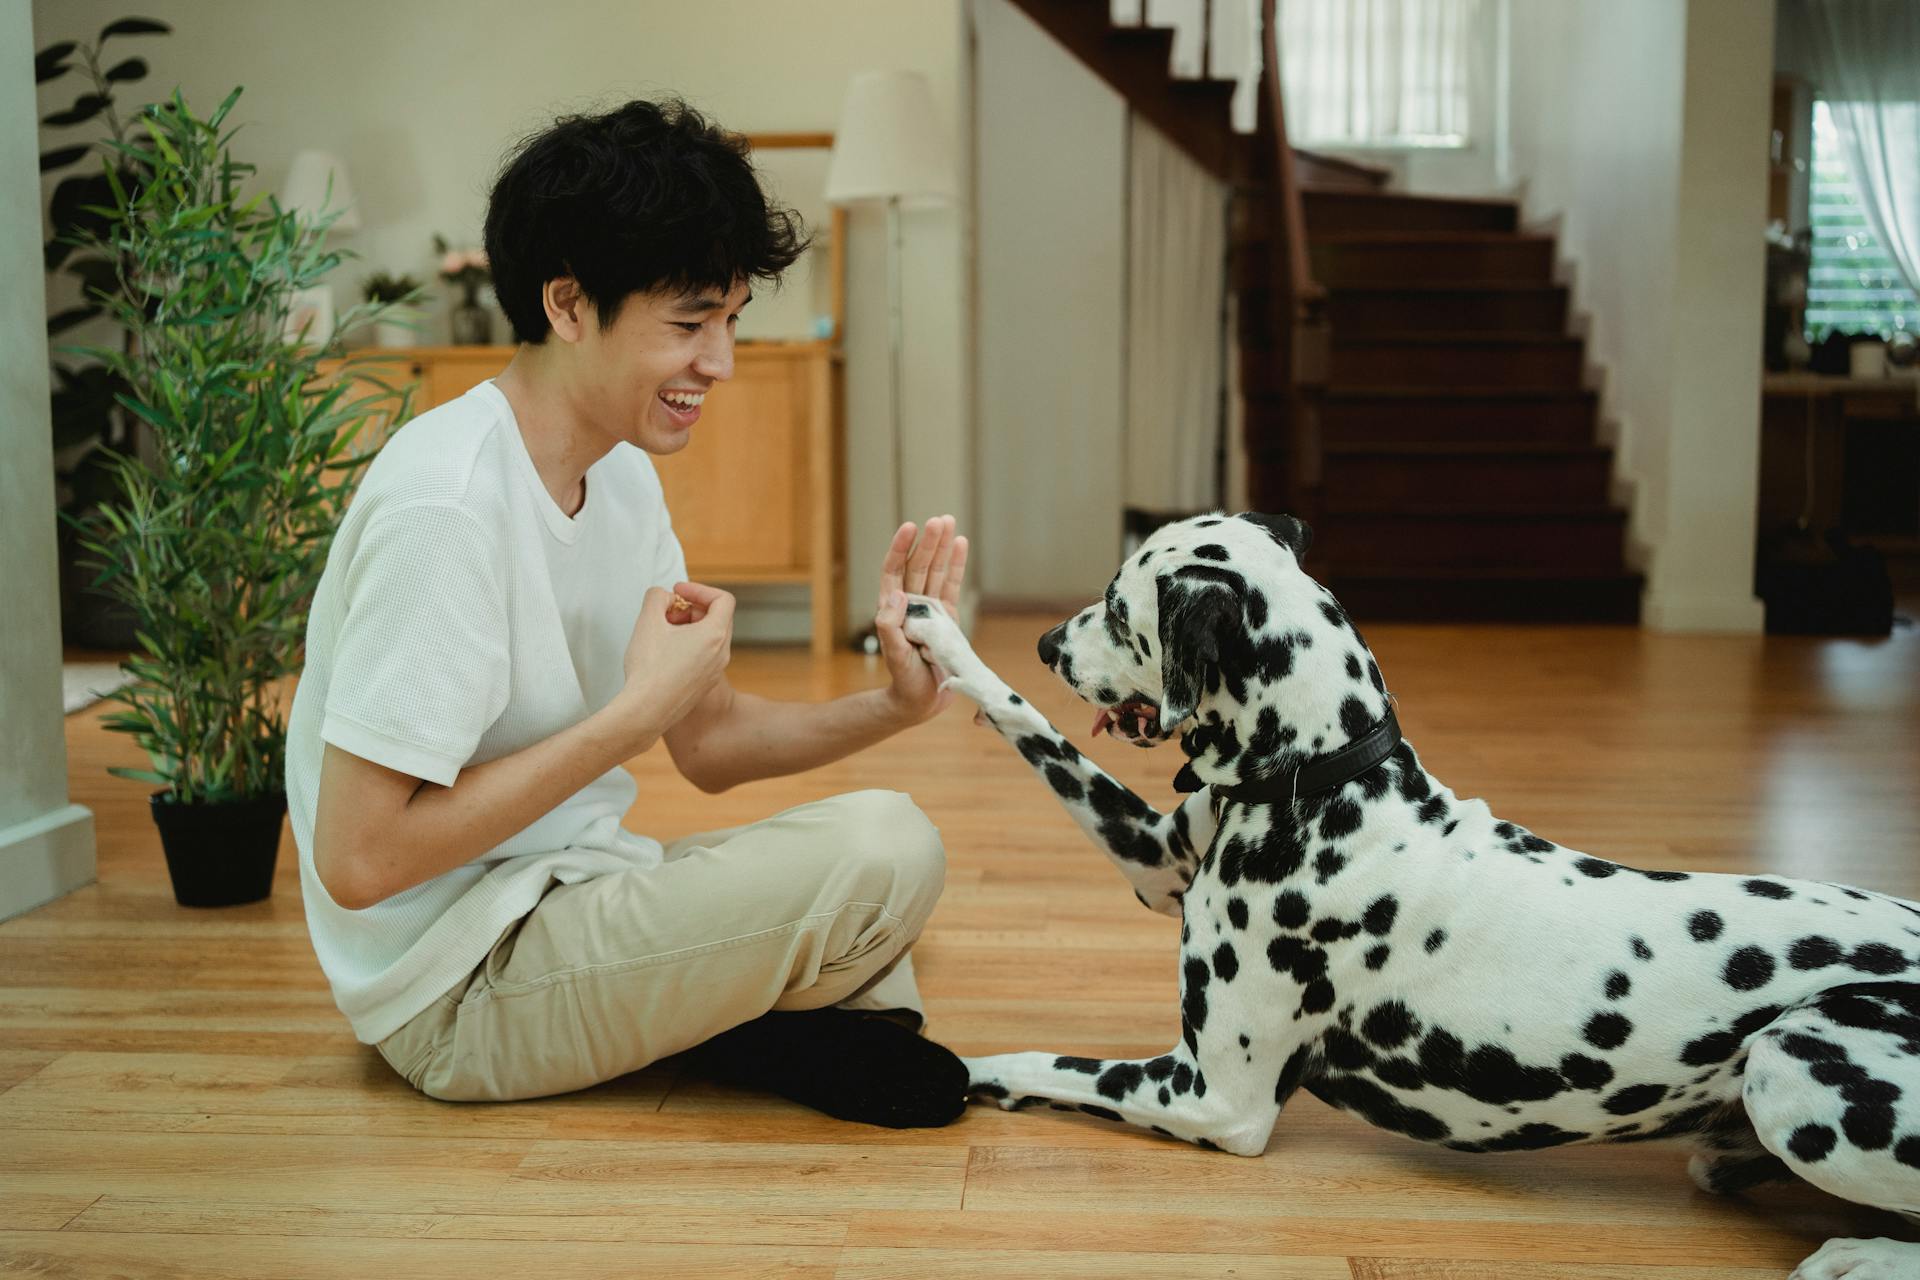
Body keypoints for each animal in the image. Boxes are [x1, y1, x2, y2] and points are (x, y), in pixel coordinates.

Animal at [898, 510, 1920, 1280]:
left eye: (1118, 608)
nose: (1044, 642)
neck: (1323, 780)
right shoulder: (1156, 856)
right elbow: (1026, 721)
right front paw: (937, 627)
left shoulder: (1212, 1096)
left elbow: (1037, 1060)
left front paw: (955, 1069)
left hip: (1791, 1064)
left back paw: (1855, 1255)